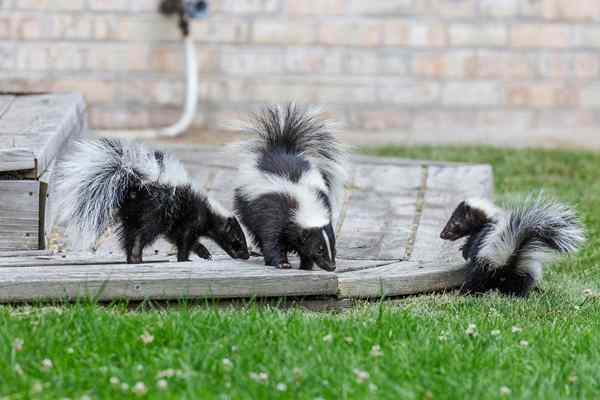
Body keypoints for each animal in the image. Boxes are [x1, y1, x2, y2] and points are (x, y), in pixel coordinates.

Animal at [52, 139, 247, 264]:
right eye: (237, 239)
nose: (246, 255)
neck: (209, 211)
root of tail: (135, 184)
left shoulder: (176, 224)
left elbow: (179, 237)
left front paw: (204, 252)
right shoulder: (190, 219)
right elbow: (185, 241)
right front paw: (185, 258)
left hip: (132, 215)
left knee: (129, 236)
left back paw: (132, 259)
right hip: (153, 212)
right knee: (142, 234)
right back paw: (136, 256)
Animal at [233, 104, 346, 272]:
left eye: (333, 248)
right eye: (319, 249)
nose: (331, 266)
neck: (303, 198)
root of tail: (281, 148)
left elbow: (301, 248)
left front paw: (306, 266)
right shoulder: (274, 213)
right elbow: (272, 240)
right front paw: (282, 263)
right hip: (246, 203)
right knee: (255, 231)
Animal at [438, 195, 584, 296]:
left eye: (455, 223)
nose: (442, 234)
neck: (489, 218)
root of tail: (508, 260)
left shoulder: (481, 235)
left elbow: (471, 247)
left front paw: (464, 251)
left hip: (483, 267)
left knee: (476, 280)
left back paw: (465, 292)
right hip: (524, 271)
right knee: (520, 285)